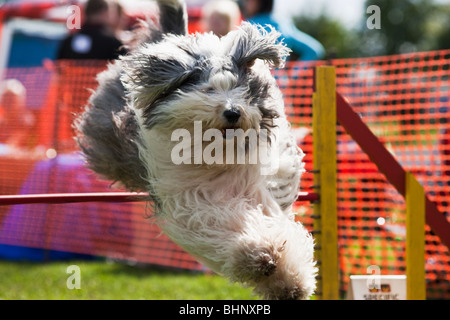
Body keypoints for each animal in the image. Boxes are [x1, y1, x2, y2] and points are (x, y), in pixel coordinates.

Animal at [75, 0, 316, 300]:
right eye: (209, 89)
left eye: (241, 88)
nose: (233, 112)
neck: (220, 154)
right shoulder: (193, 199)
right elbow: (226, 224)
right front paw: (259, 254)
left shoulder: (263, 189)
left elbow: (280, 228)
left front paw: (292, 282)